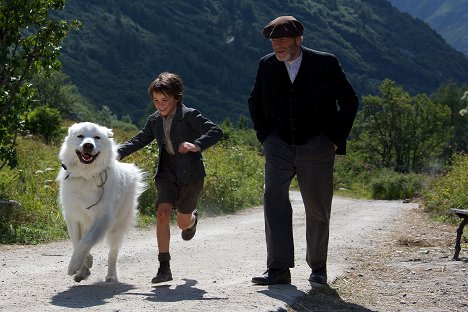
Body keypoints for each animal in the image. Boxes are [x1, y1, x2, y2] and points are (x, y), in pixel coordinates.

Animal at [57, 122, 144, 282]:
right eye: (80, 136)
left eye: (97, 137)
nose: (88, 145)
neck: (87, 175)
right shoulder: (73, 217)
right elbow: (77, 242)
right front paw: (84, 264)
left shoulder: (102, 218)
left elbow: (85, 242)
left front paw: (73, 266)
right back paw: (82, 272)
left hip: (117, 227)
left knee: (112, 254)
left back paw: (111, 276)